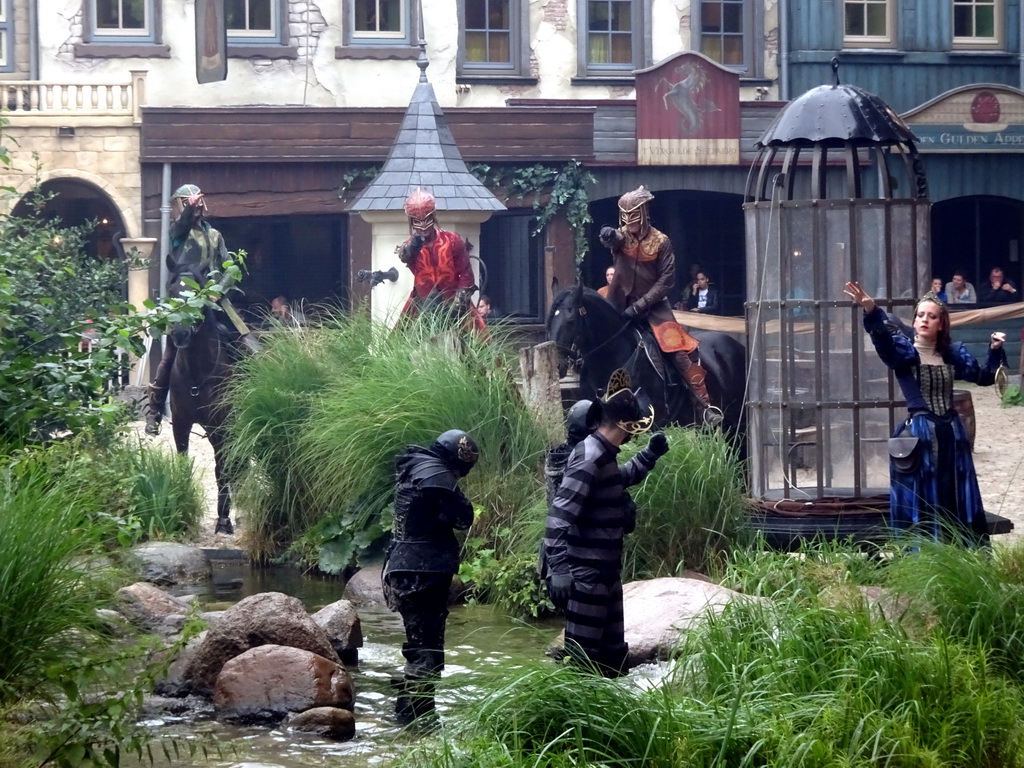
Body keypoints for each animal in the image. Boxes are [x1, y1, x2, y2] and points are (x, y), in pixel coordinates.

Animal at [165, 264, 237, 536]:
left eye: (199, 292)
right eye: (171, 290)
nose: (180, 333)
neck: (197, 375)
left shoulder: (222, 427)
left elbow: (221, 470)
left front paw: (224, 519)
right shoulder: (180, 424)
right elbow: (183, 462)